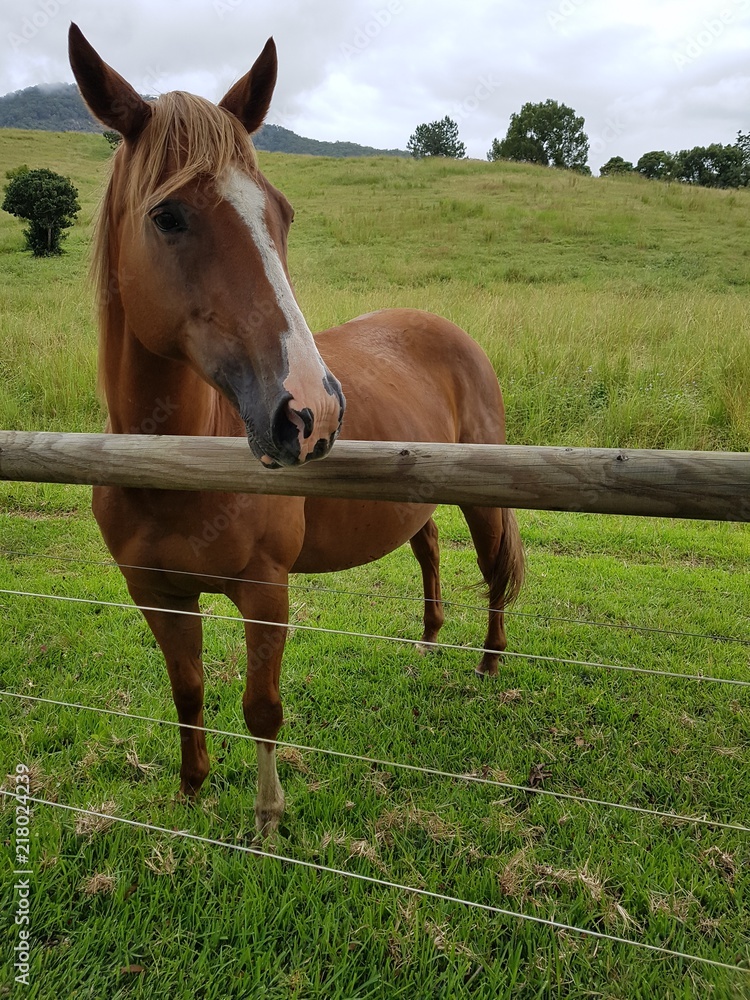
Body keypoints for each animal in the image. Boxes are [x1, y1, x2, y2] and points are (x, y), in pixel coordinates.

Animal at [68, 23, 524, 836]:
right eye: (168, 216)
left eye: (281, 214)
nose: (311, 410)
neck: (174, 463)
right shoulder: (156, 594)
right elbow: (187, 692)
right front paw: (191, 792)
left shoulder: (265, 590)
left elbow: (261, 709)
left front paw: (267, 819)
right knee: (429, 550)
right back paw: (428, 644)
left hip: (482, 492)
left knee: (494, 565)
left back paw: (489, 662)